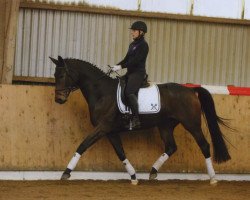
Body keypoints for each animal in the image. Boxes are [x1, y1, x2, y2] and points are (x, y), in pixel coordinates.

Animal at [49, 55, 231, 185]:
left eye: (62, 75)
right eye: (55, 75)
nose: (58, 99)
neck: (101, 92)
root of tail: (191, 91)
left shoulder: (102, 127)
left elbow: (83, 145)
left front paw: (66, 172)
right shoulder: (110, 131)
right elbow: (120, 152)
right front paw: (134, 176)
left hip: (192, 124)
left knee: (204, 145)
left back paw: (213, 178)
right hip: (165, 125)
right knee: (171, 147)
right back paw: (153, 172)